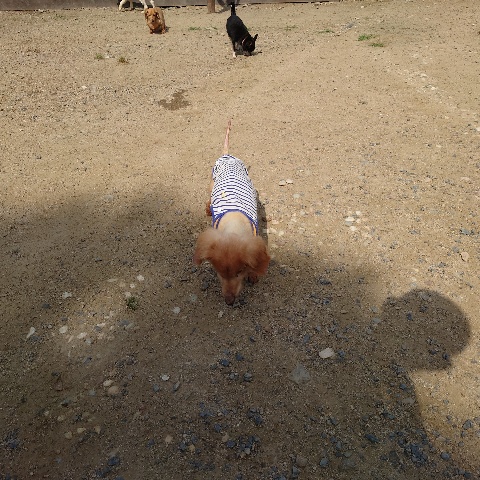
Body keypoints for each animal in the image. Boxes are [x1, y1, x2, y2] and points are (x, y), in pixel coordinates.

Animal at [194, 120, 270, 305]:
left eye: (239, 272)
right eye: (219, 273)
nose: (229, 302)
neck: (233, 223)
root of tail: (227, 155)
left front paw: (253, 275)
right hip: (212, 183)